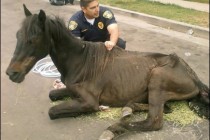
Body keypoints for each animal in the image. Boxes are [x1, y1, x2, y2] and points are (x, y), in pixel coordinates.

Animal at [6, 4, 208, 140]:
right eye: (17, 35)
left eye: (33, 39)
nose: (11, 73)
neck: (80, 61)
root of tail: (193, 76)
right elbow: (52, 94)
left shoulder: (88, 101)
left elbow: (53, 111)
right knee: (162, 108)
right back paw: (128, 109)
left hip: (157, 79)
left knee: (154, 121)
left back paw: (112, 129)